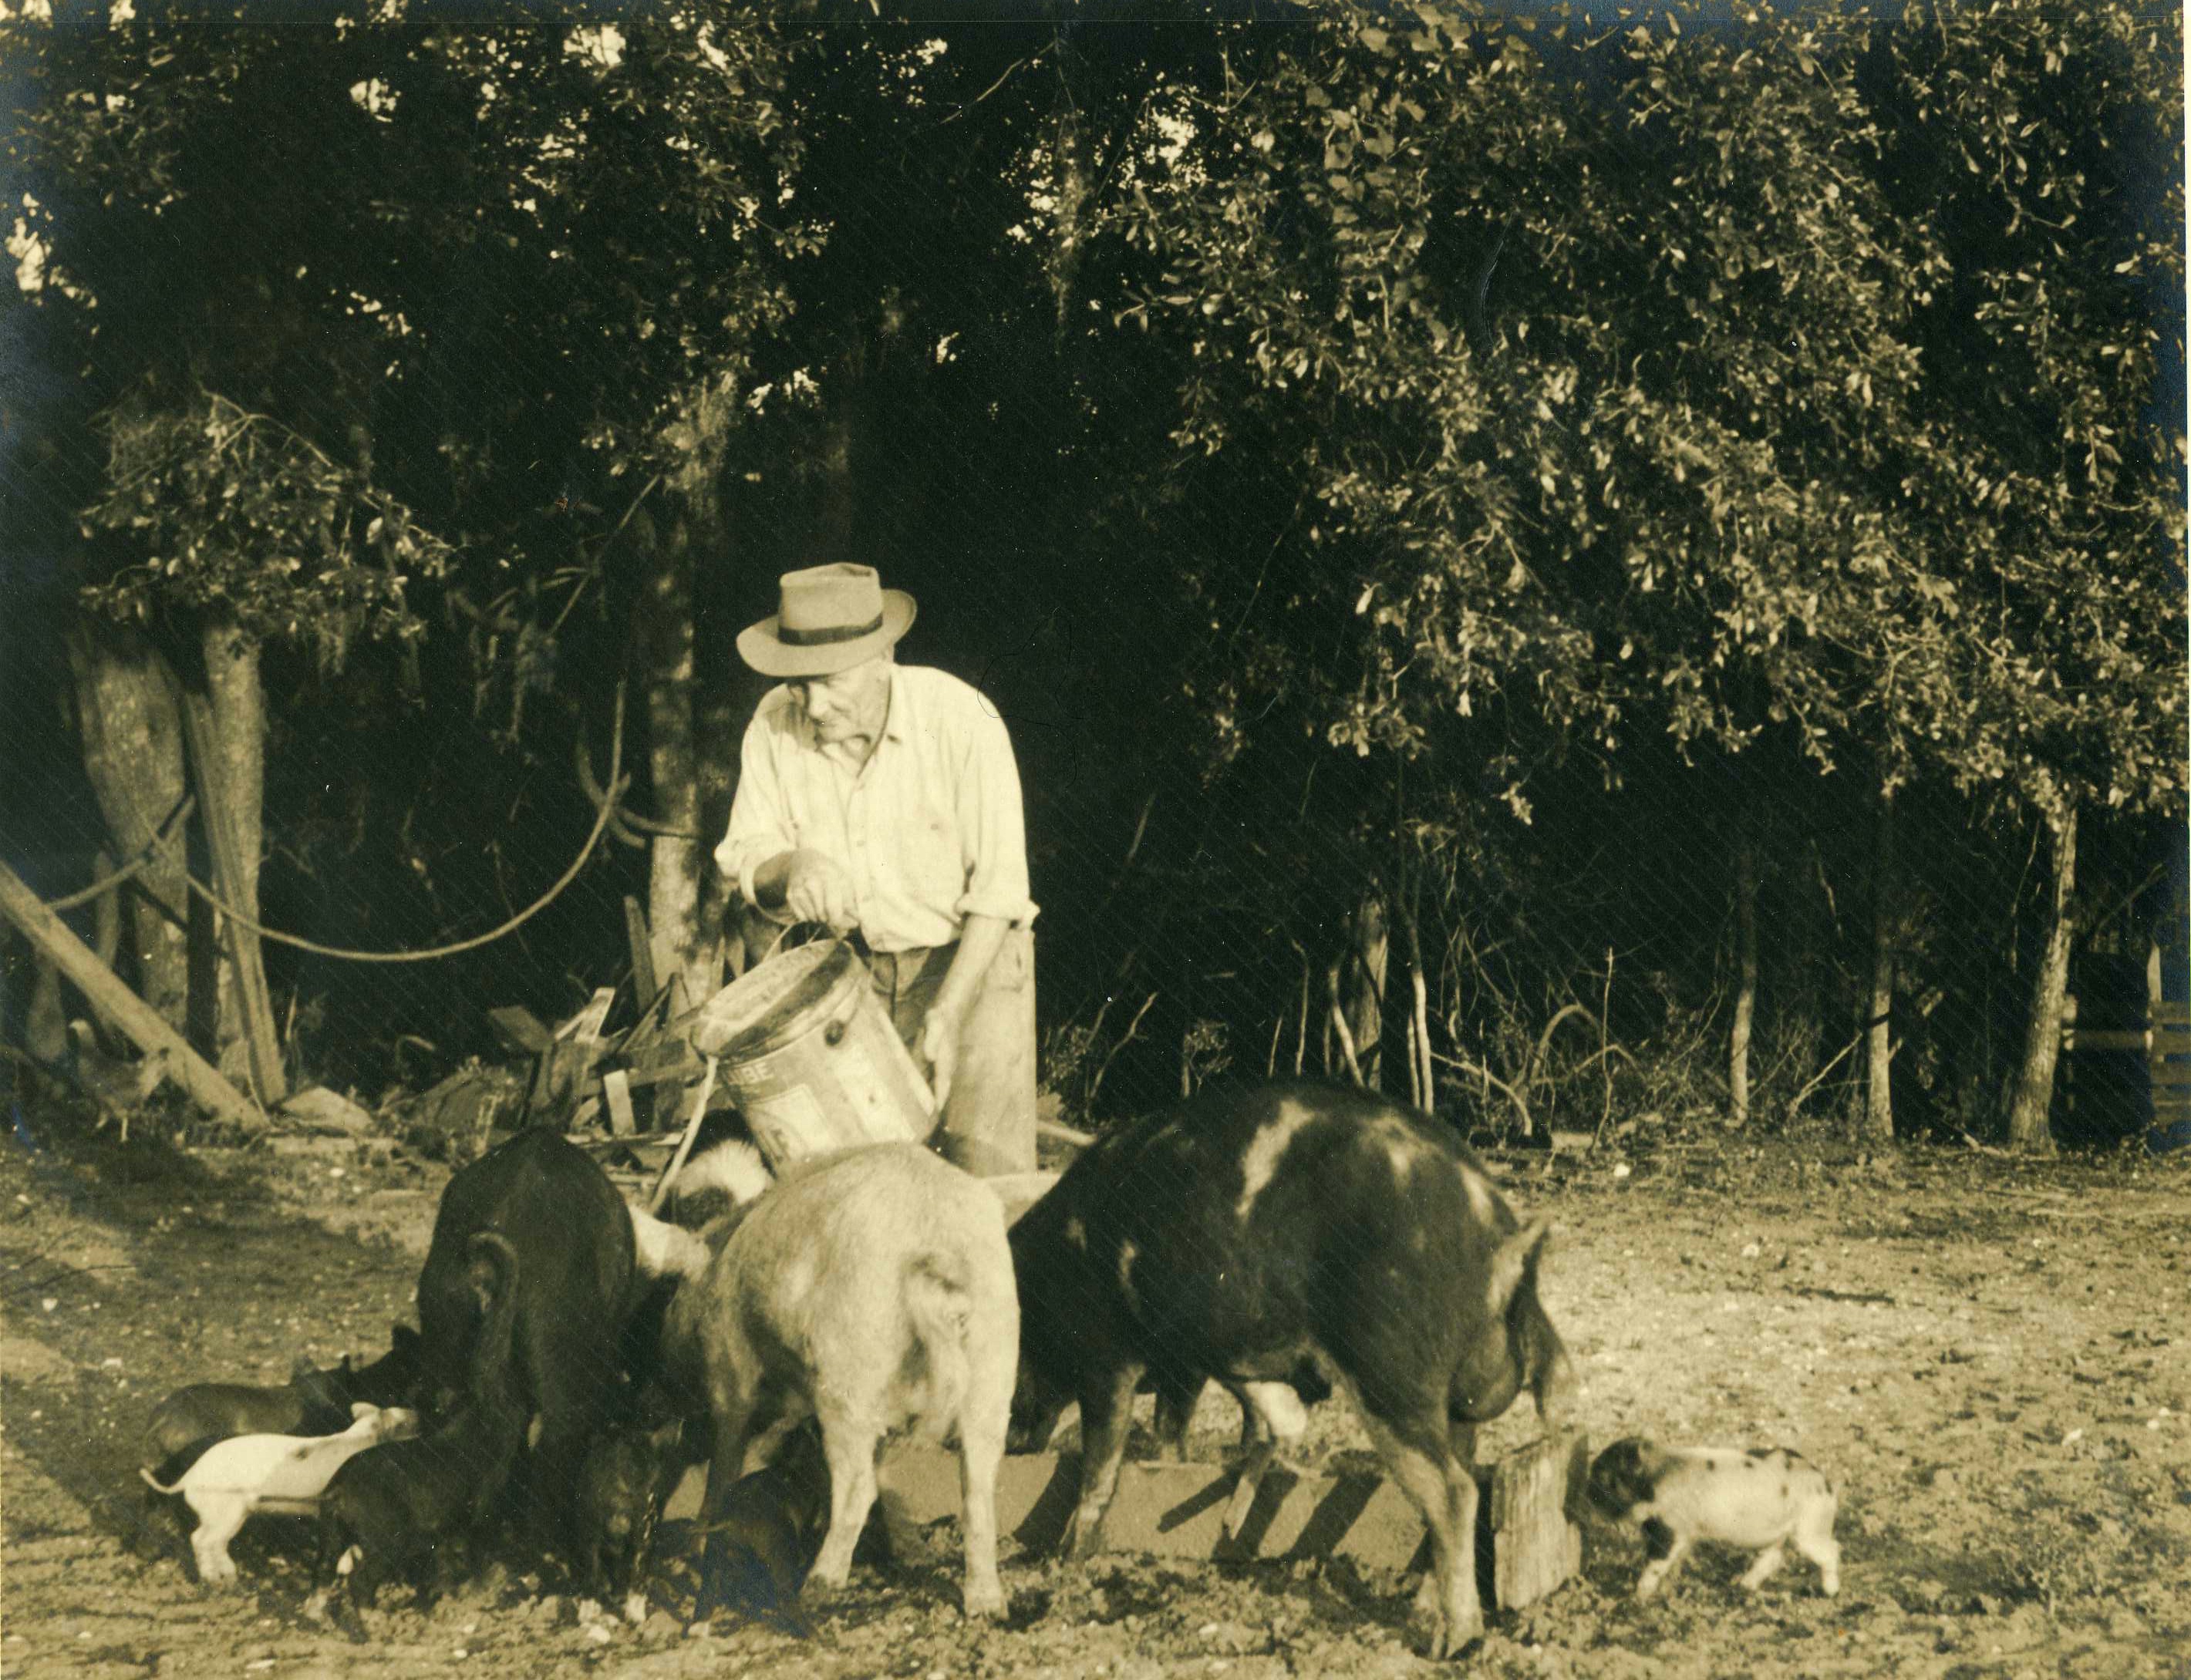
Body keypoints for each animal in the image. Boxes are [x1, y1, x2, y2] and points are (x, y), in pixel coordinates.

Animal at [1007, 1086, 1577, 1665]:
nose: (1011, 1446)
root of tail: (1498, 1238)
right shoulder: (1183, 1364)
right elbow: (1172, 1438)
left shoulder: (1104, 1359)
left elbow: (1099, 1470)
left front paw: (1065, 1559)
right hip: (1454, 1401)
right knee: (1459, 1479)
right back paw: (1425, 1611)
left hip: (1390, 1373)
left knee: (1454, 1491)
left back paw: (1448, 1643)